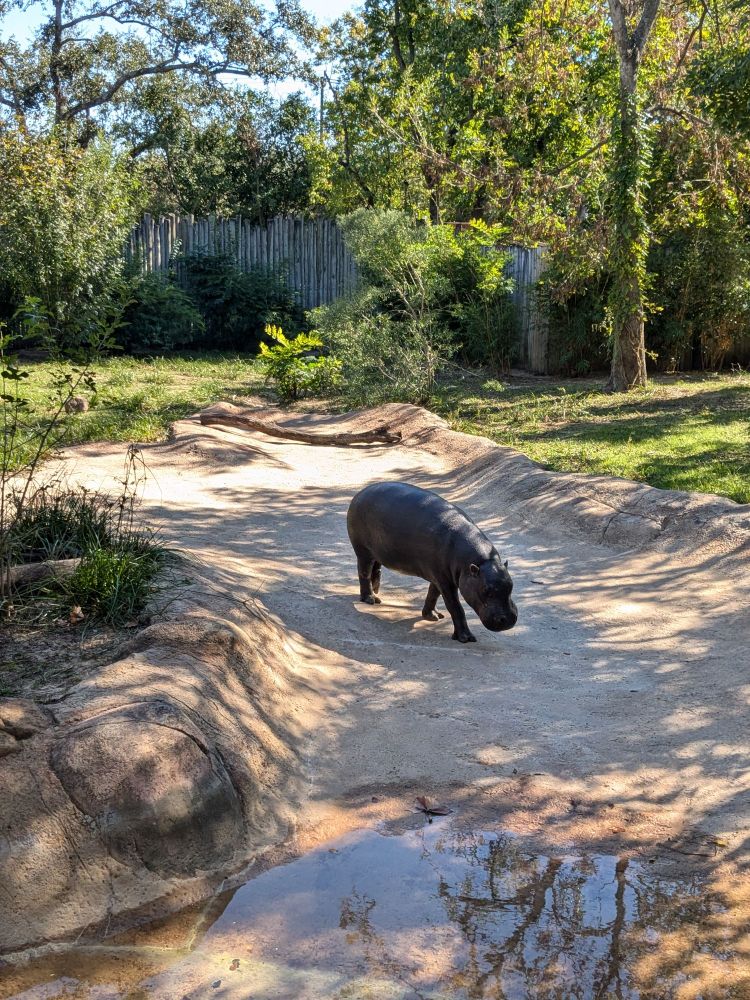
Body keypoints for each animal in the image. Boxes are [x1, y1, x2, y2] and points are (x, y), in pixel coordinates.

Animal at [346, 482, 518, 643]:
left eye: (511, 586)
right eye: (486, 590)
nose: (508, 620)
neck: (480, 562)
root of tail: (360, 493)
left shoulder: (440, 575)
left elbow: (433, 594)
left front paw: (432, 616)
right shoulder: (445, 581)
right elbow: (455, 606)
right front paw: (466, 638)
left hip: (378, 551)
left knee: (376, 568)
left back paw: (376, 592)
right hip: (363, 550)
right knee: (364, 572)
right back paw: (371, 599)